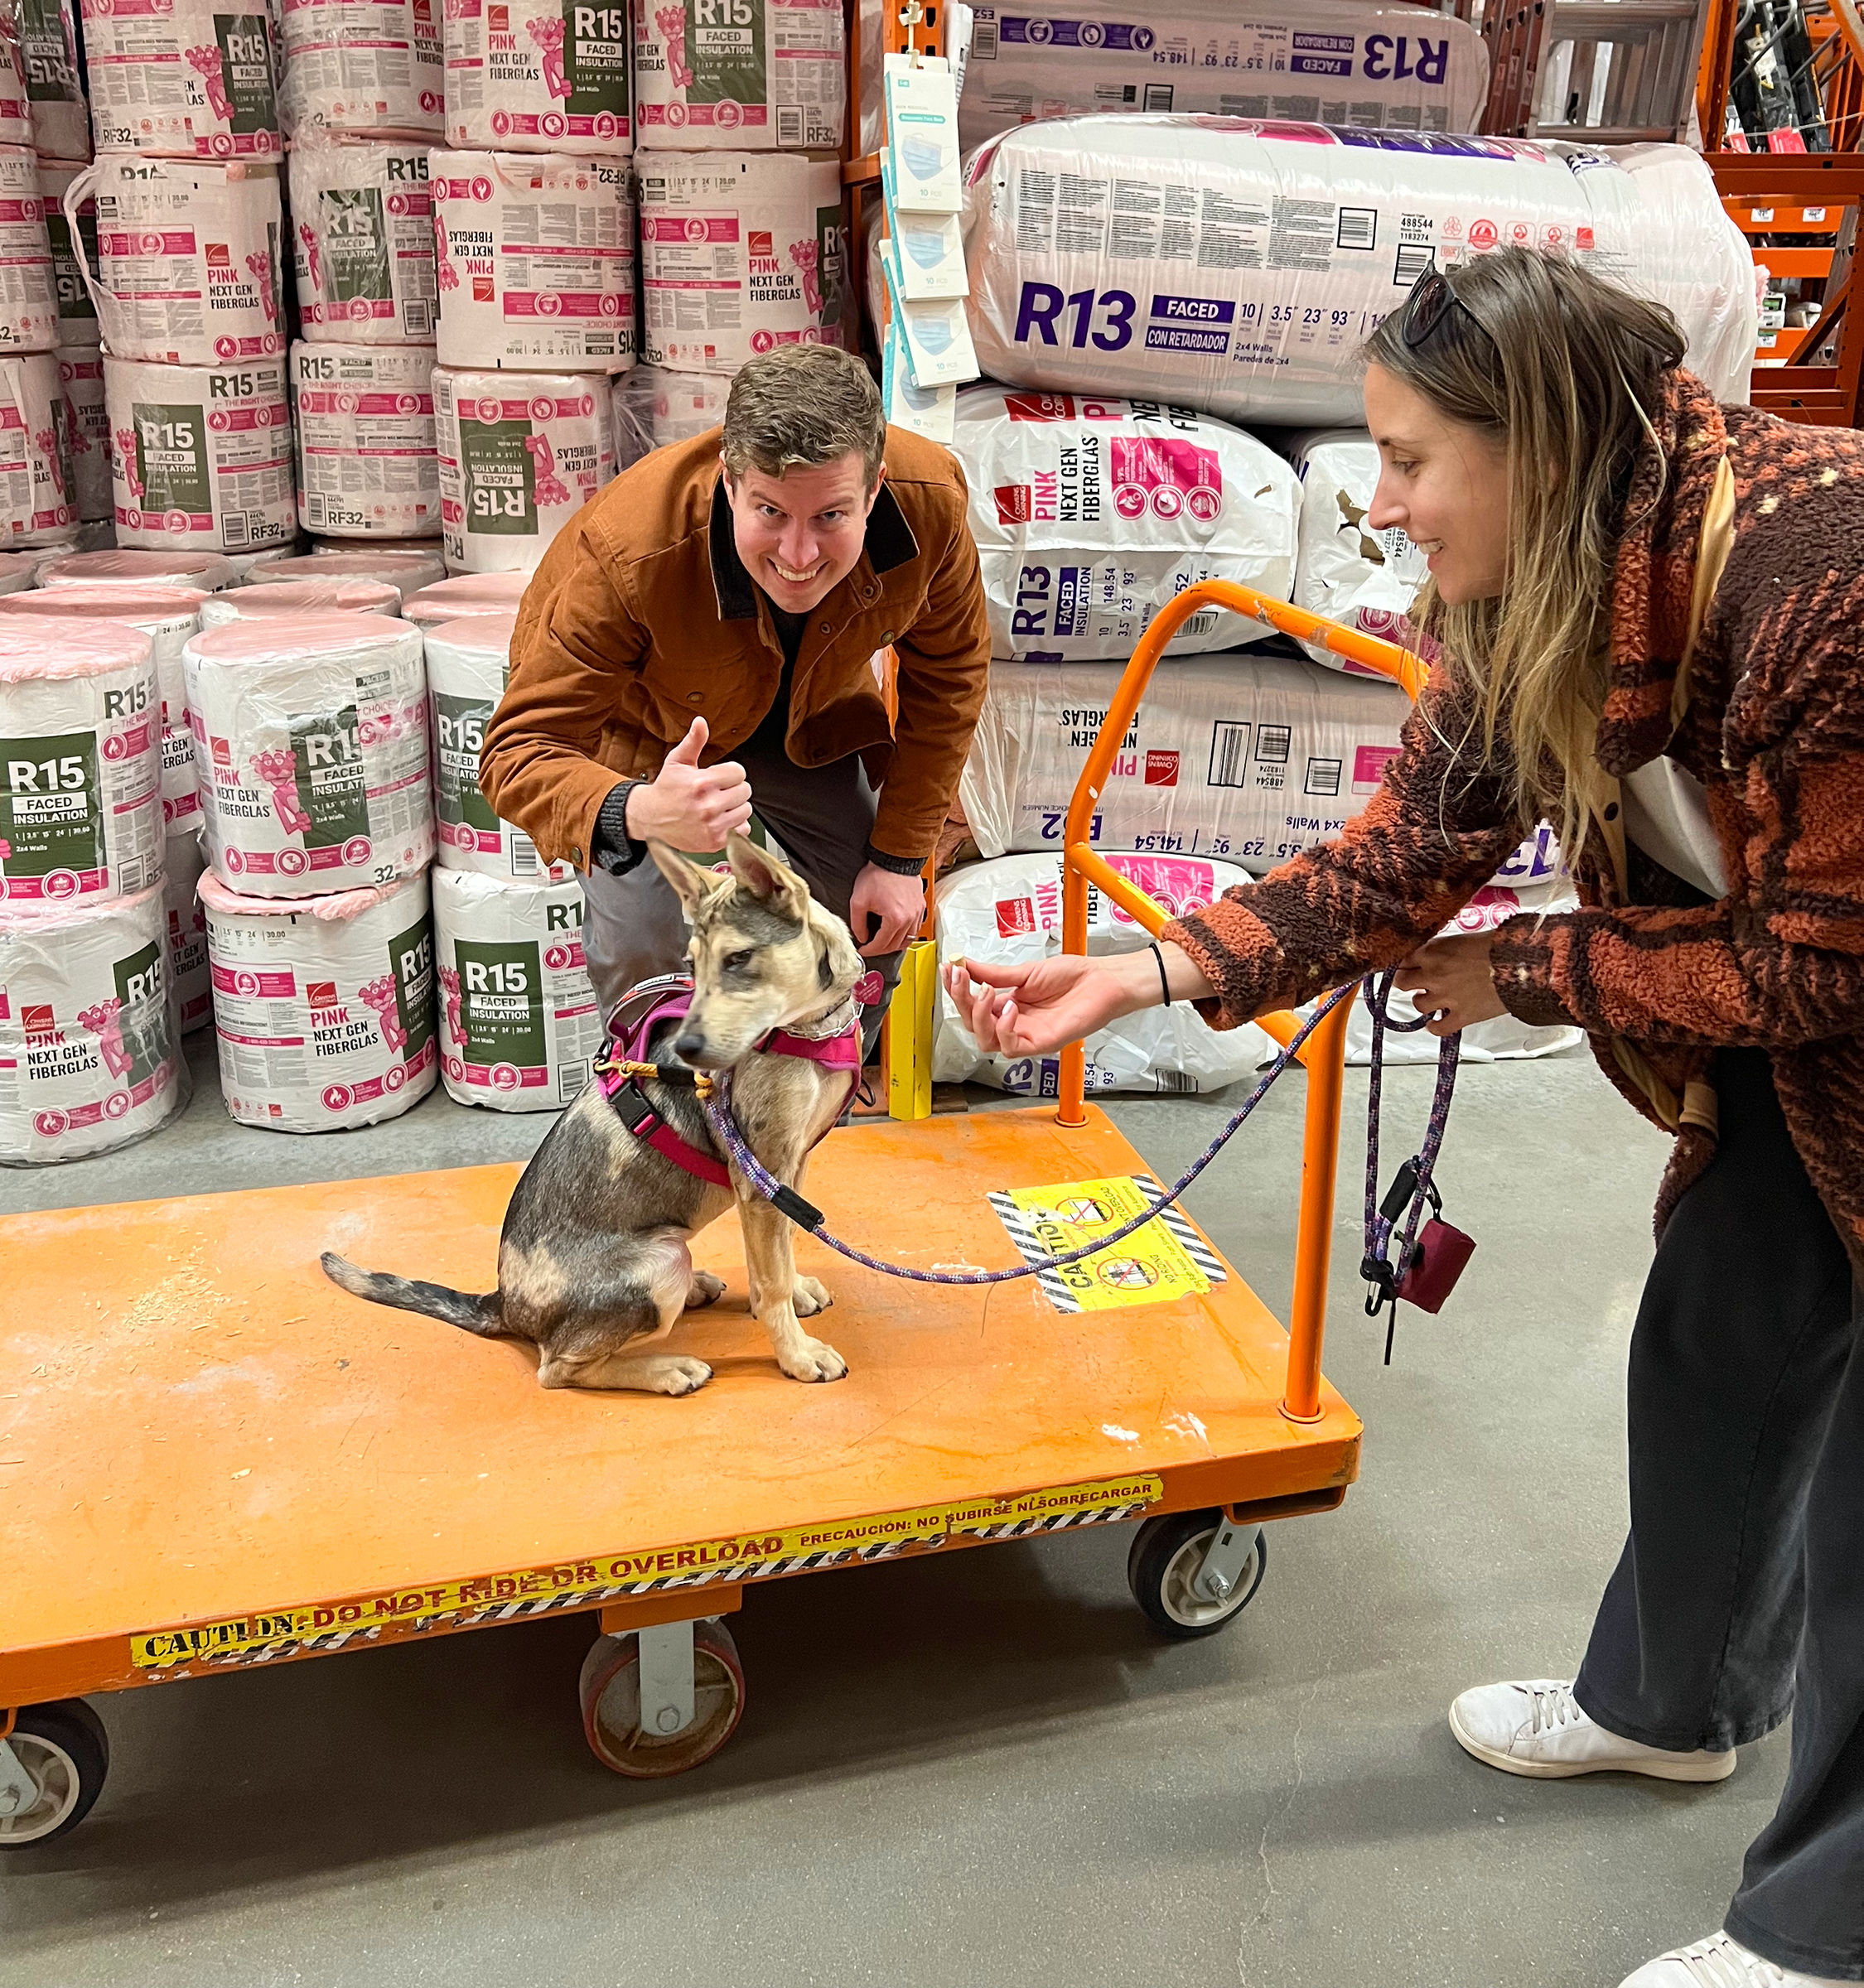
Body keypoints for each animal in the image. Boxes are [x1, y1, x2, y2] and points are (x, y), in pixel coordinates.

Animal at [317, 838, 866, 1399]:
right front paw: (796, 1355)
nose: (687, 1052)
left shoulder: (786, 1171)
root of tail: (503, 1303)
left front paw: (796, 1294)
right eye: (692, 965)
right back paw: (667, 1369)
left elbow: (786, 1246)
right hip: (661, 1262)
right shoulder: (759, 1179)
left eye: (739, 958)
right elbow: (768, 1280)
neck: (809, 1027)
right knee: (558, 1369)